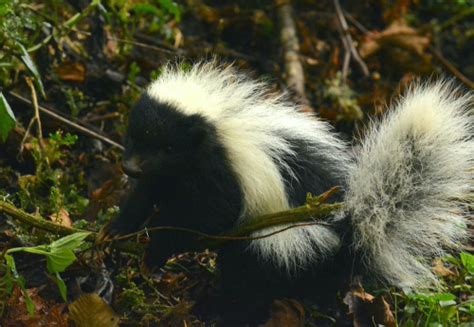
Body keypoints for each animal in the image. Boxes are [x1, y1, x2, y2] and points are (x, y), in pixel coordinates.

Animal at [105, 64, 472, 322]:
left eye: (168, 147)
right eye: (135, 135)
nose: (130, 167)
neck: (214, 130)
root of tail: (347, 232)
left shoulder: (219, 172)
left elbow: (212, 214)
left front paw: (159, 248)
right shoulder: (169, 176)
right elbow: (144, 196)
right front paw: (115, 232)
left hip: (284, 239)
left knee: (249, 277)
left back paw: (220, 311)